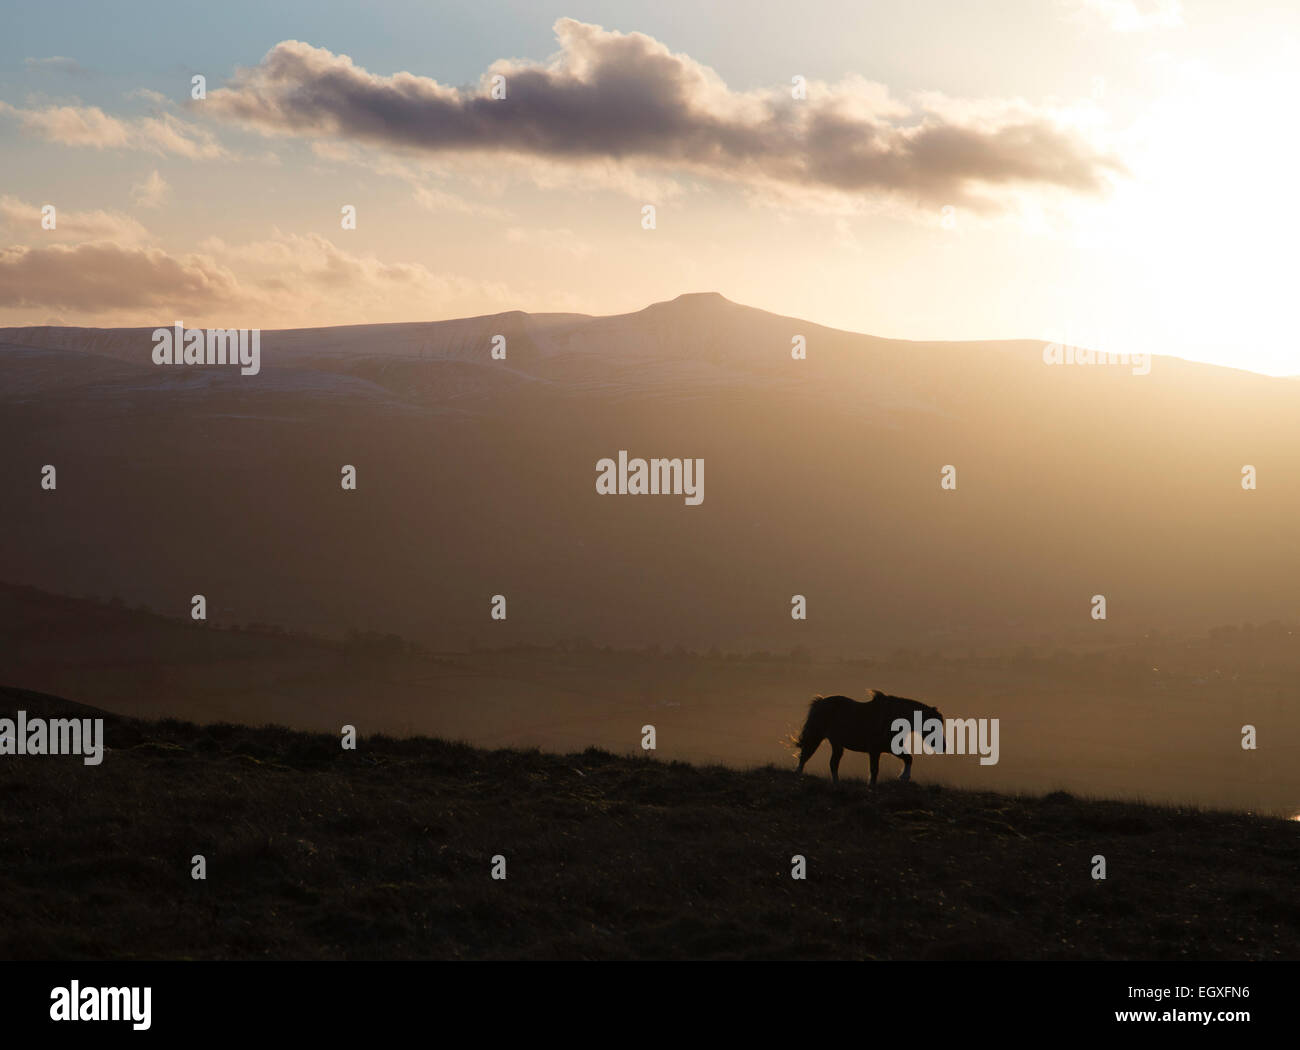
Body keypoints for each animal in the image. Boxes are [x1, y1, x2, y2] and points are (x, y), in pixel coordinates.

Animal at [790, 691, 946, 784]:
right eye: (934, 726)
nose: (944, 746)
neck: (892, 718)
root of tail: (820, 702)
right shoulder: (875, 750)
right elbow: (874, 770)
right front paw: (874, 785)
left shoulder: (889, 748)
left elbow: (908, 758)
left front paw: (904, 777)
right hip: (816, 736)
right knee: (805, 756)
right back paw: (798, 775)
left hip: (836, 744)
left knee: (832, 763)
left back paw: (836, 783)